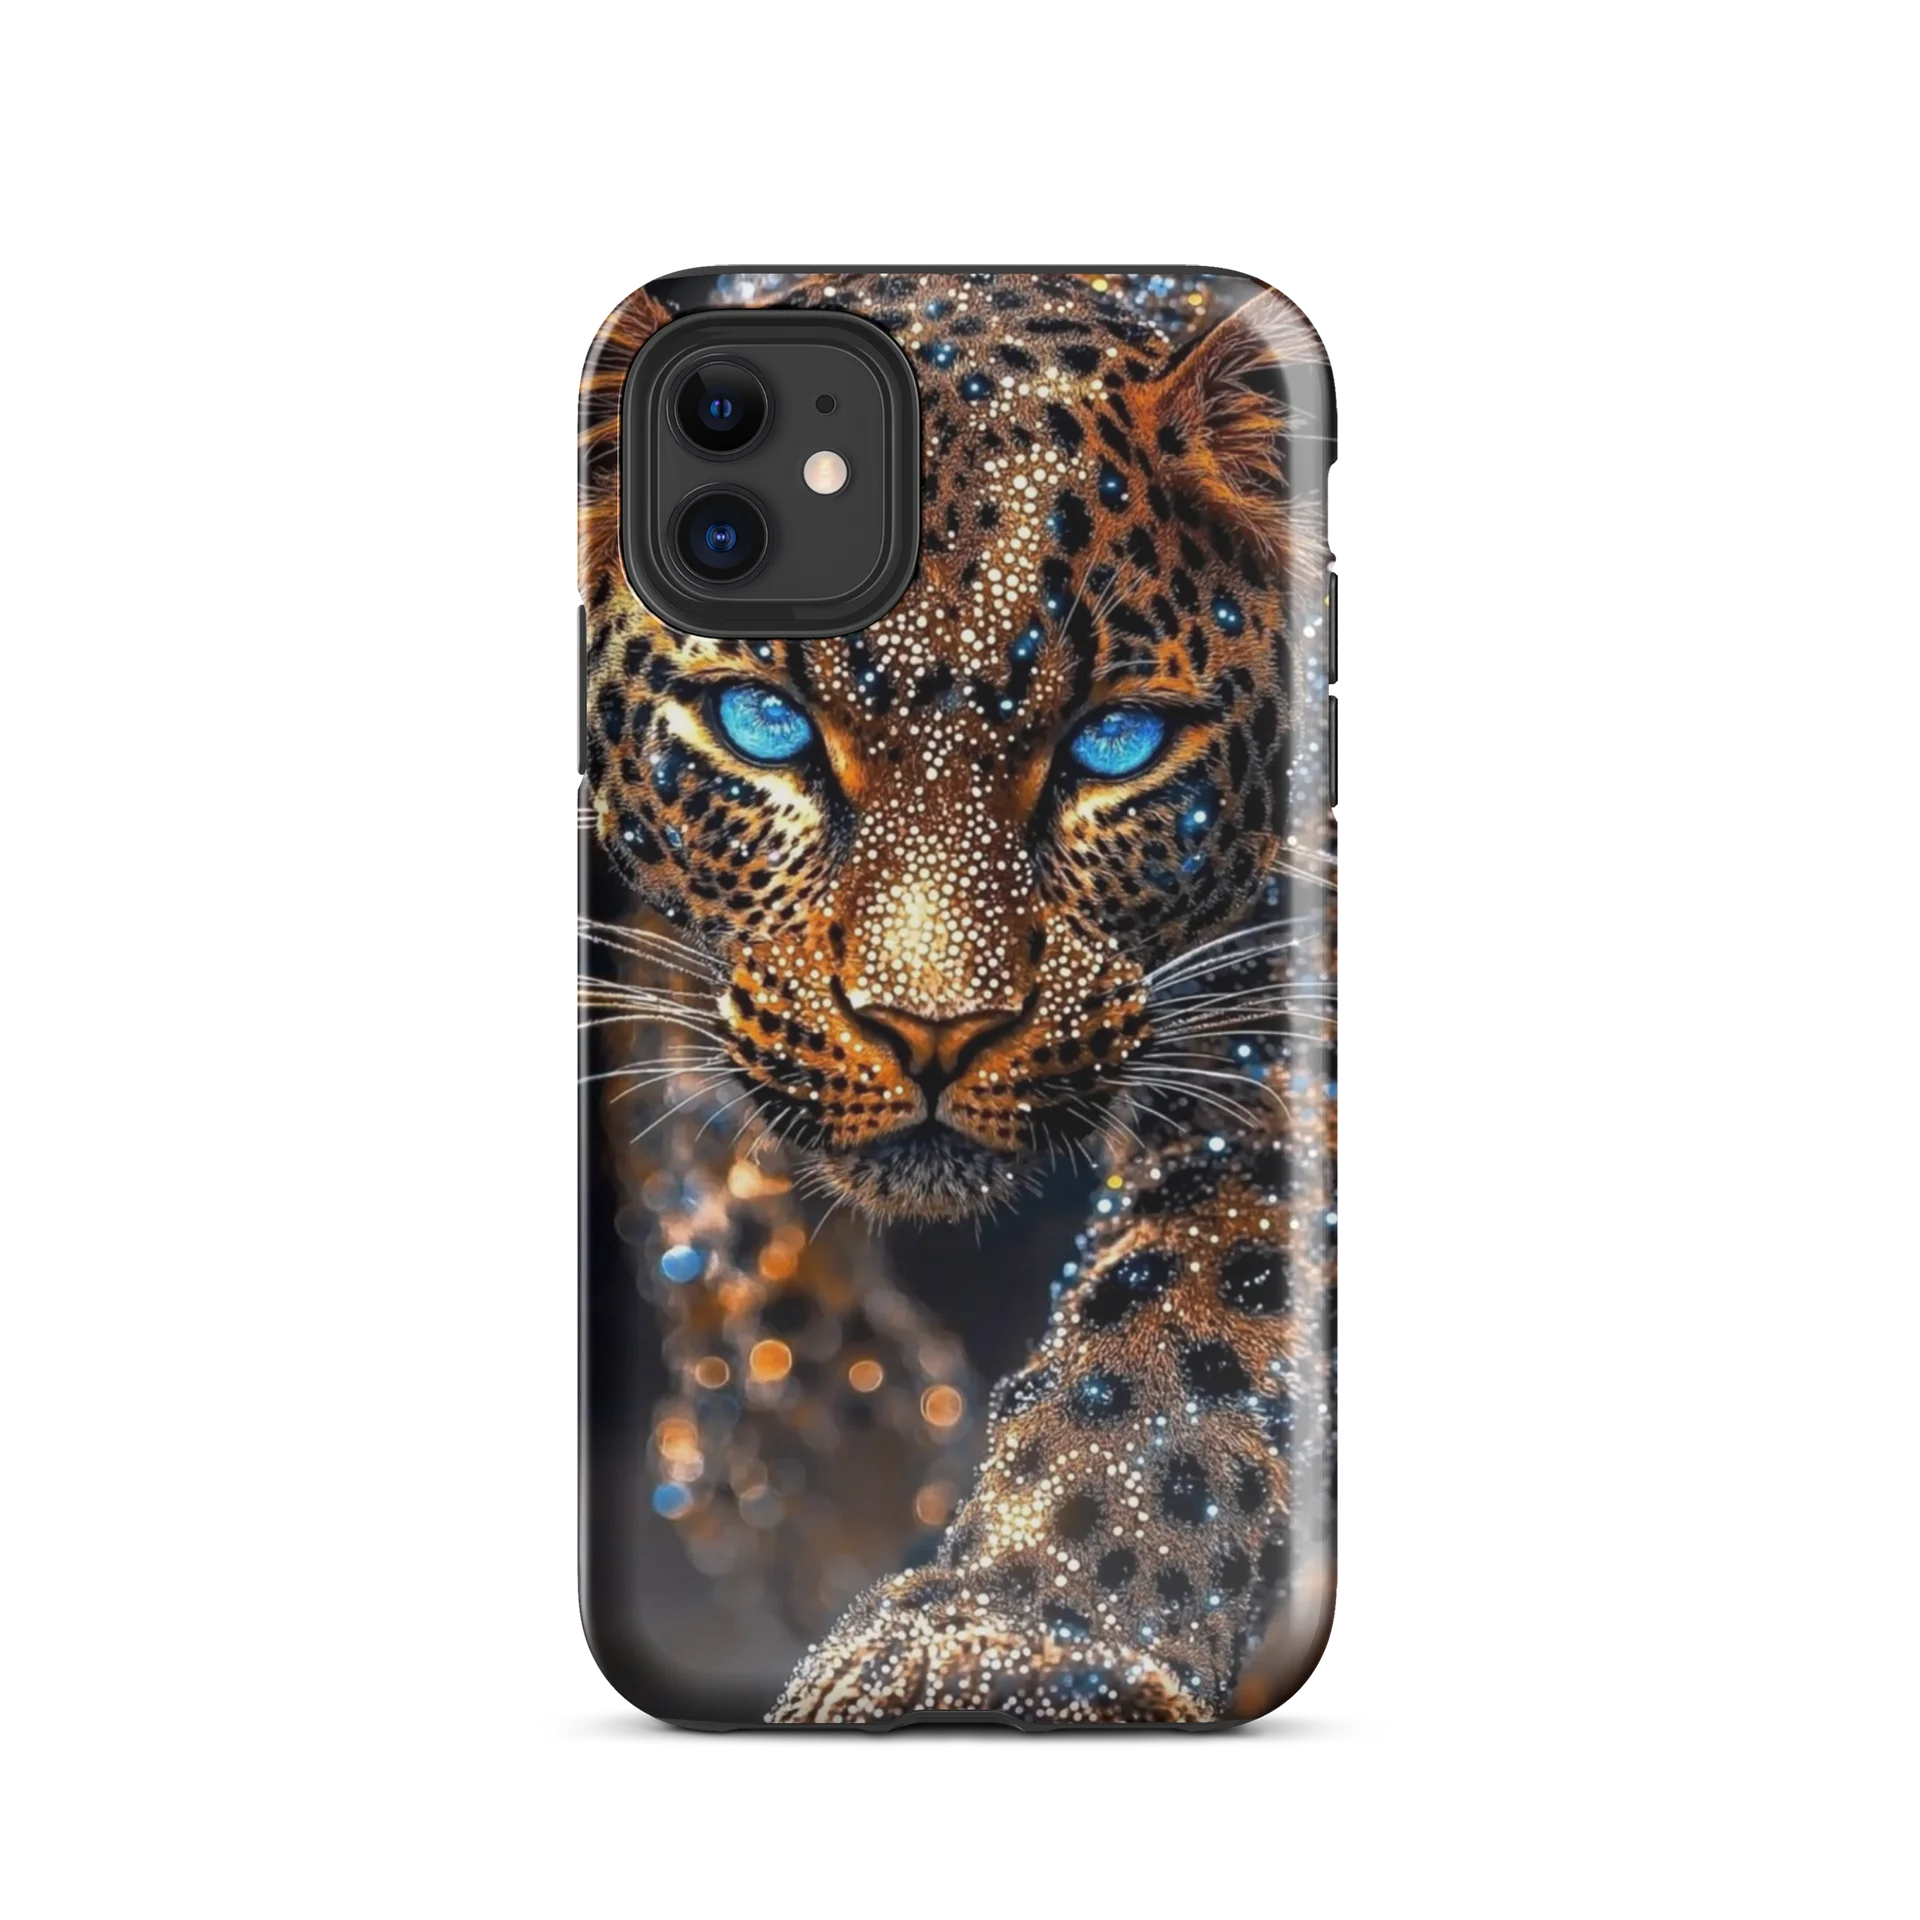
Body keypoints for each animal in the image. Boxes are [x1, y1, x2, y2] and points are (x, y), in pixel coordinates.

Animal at [578, 271, 1338, 1723]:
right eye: (764, 727)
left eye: (1116, 746)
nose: (933, 1033)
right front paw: (837, 1472)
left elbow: (1193, 1314)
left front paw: (1026, 1627)